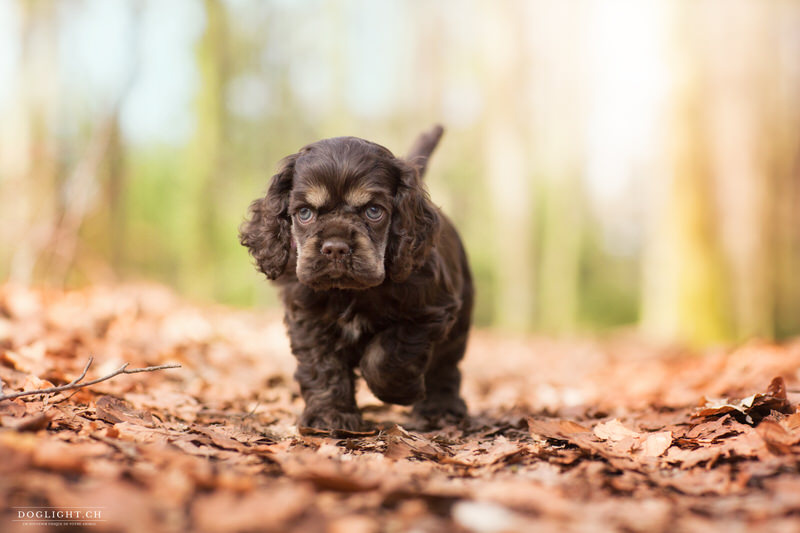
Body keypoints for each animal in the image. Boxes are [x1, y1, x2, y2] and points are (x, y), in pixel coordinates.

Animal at [241, 127, 472, 430]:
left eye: (374, 211)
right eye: (304, 213)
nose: (336, 248)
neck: (348, 291)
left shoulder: (428, 312)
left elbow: (386, 356)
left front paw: (401, 392)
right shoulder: (309, 319)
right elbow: (324, 367)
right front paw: (332, 415)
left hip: (459, 325)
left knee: (445, 368)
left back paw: (441, 408)